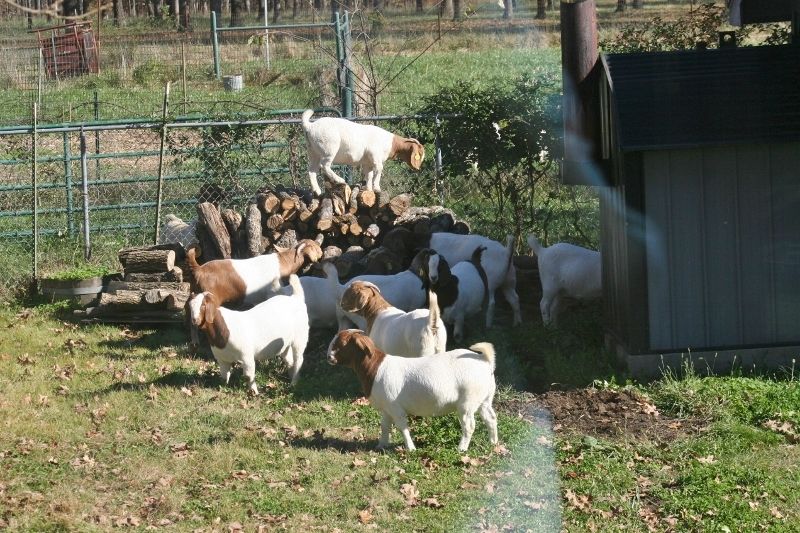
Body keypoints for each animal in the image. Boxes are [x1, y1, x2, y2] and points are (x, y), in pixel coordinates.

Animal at [328, 330, 496, 450]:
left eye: (342, 343)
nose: (328, 356)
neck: (375, 368)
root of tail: (485, 361)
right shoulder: (386, 408)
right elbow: (384, 426)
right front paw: (381, 445)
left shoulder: (395, 407)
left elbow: (402, 427)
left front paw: (410, 448)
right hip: (484, 400)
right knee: (491, 418)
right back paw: (493, 443)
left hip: (467, 402)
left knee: (469, 426)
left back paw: (461, 449)